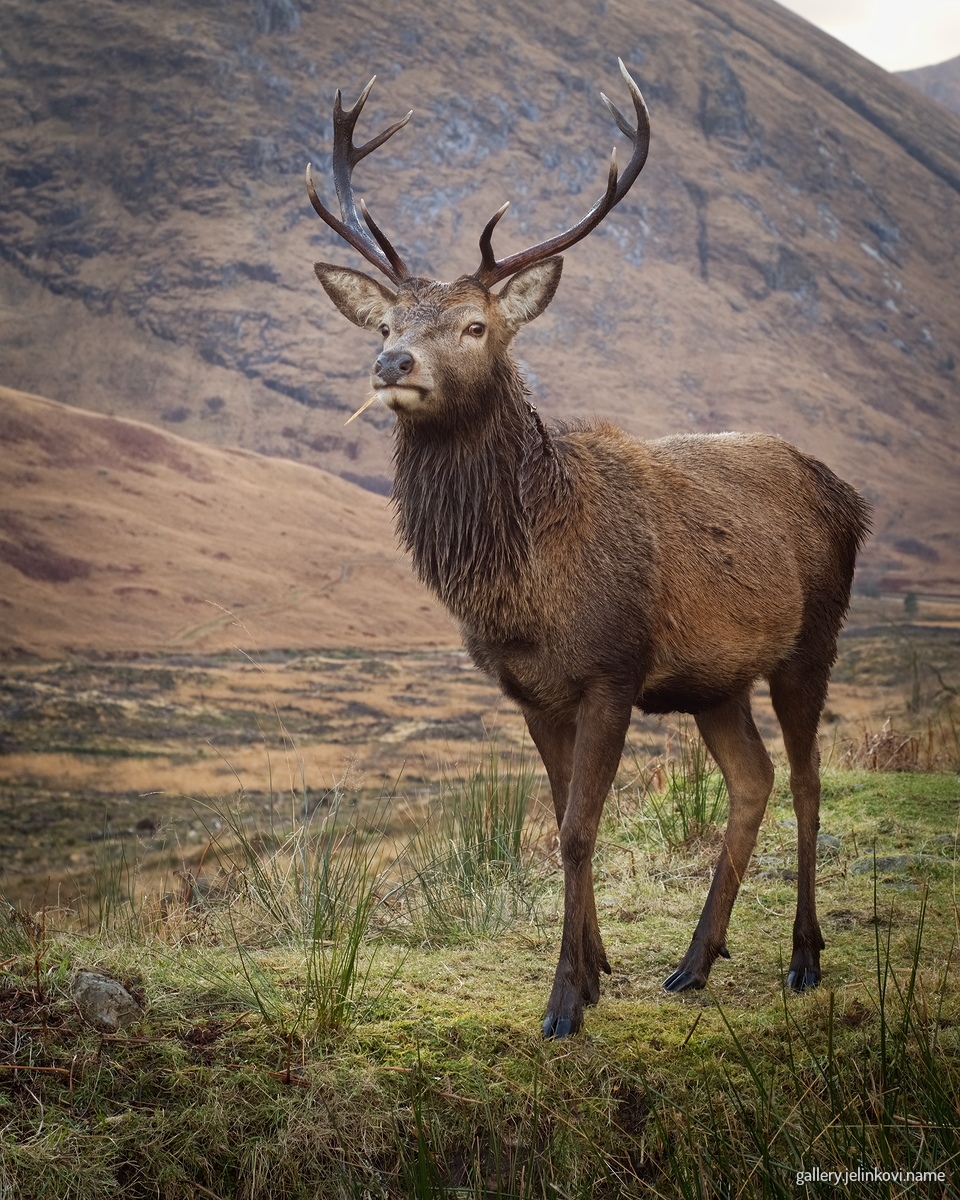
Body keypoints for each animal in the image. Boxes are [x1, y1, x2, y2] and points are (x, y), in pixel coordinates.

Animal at [304, 65, 871, 1039]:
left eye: (475, 326)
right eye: (383, 324)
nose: (392, 365)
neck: (523, 583)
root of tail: (852, 497)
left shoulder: (613, 665)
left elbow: (576, 829)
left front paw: (565, 1000)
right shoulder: (533, 689)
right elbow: (561, 819)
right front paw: (600, 969)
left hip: (813, 640)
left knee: (806, 781)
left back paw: (803, 957)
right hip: (714, 682)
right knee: (752, 779)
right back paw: (695, 961)